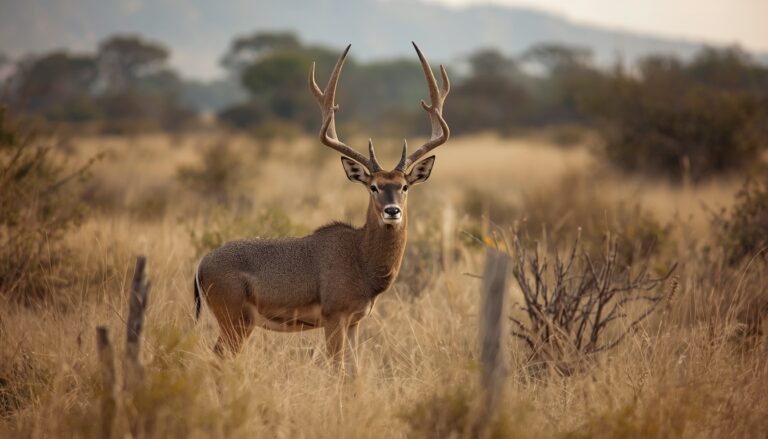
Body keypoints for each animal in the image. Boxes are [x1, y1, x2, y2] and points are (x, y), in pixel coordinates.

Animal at [194, 43, 450, 373]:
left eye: (404, 186)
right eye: (373, 186)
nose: (392, 211)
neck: (361, 260)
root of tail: (200, 267)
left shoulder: (354, 321)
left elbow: (354, 372)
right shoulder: (333, 316)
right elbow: (337, 370)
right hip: (235, 318)